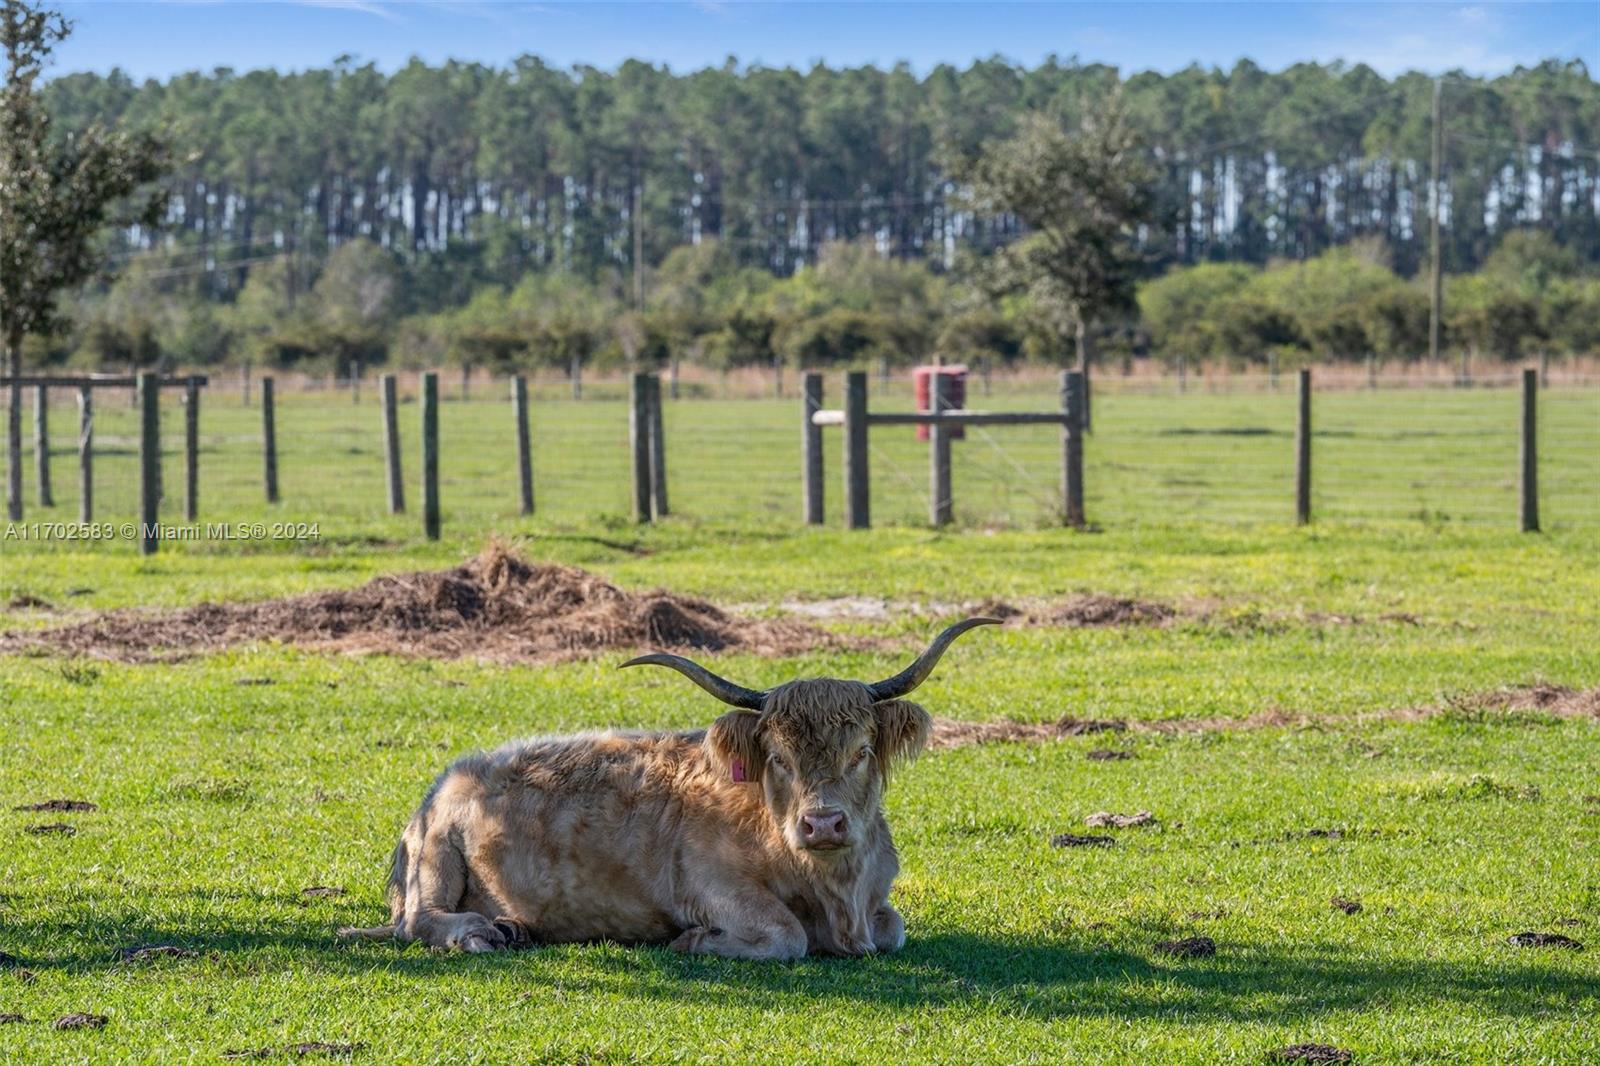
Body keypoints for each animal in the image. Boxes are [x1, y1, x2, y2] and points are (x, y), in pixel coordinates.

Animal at [342, 614, 992, 953]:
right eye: (778, 758)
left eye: (861, 752)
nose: (824, 823)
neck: (838, 894)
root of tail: (449, 779)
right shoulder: (713, 885)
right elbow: (786, 935)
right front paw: (694, 941)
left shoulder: (877, 905)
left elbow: (894, 928)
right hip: (435, 861)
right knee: (418, 922)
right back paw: (481, 932)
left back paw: (510, 927)